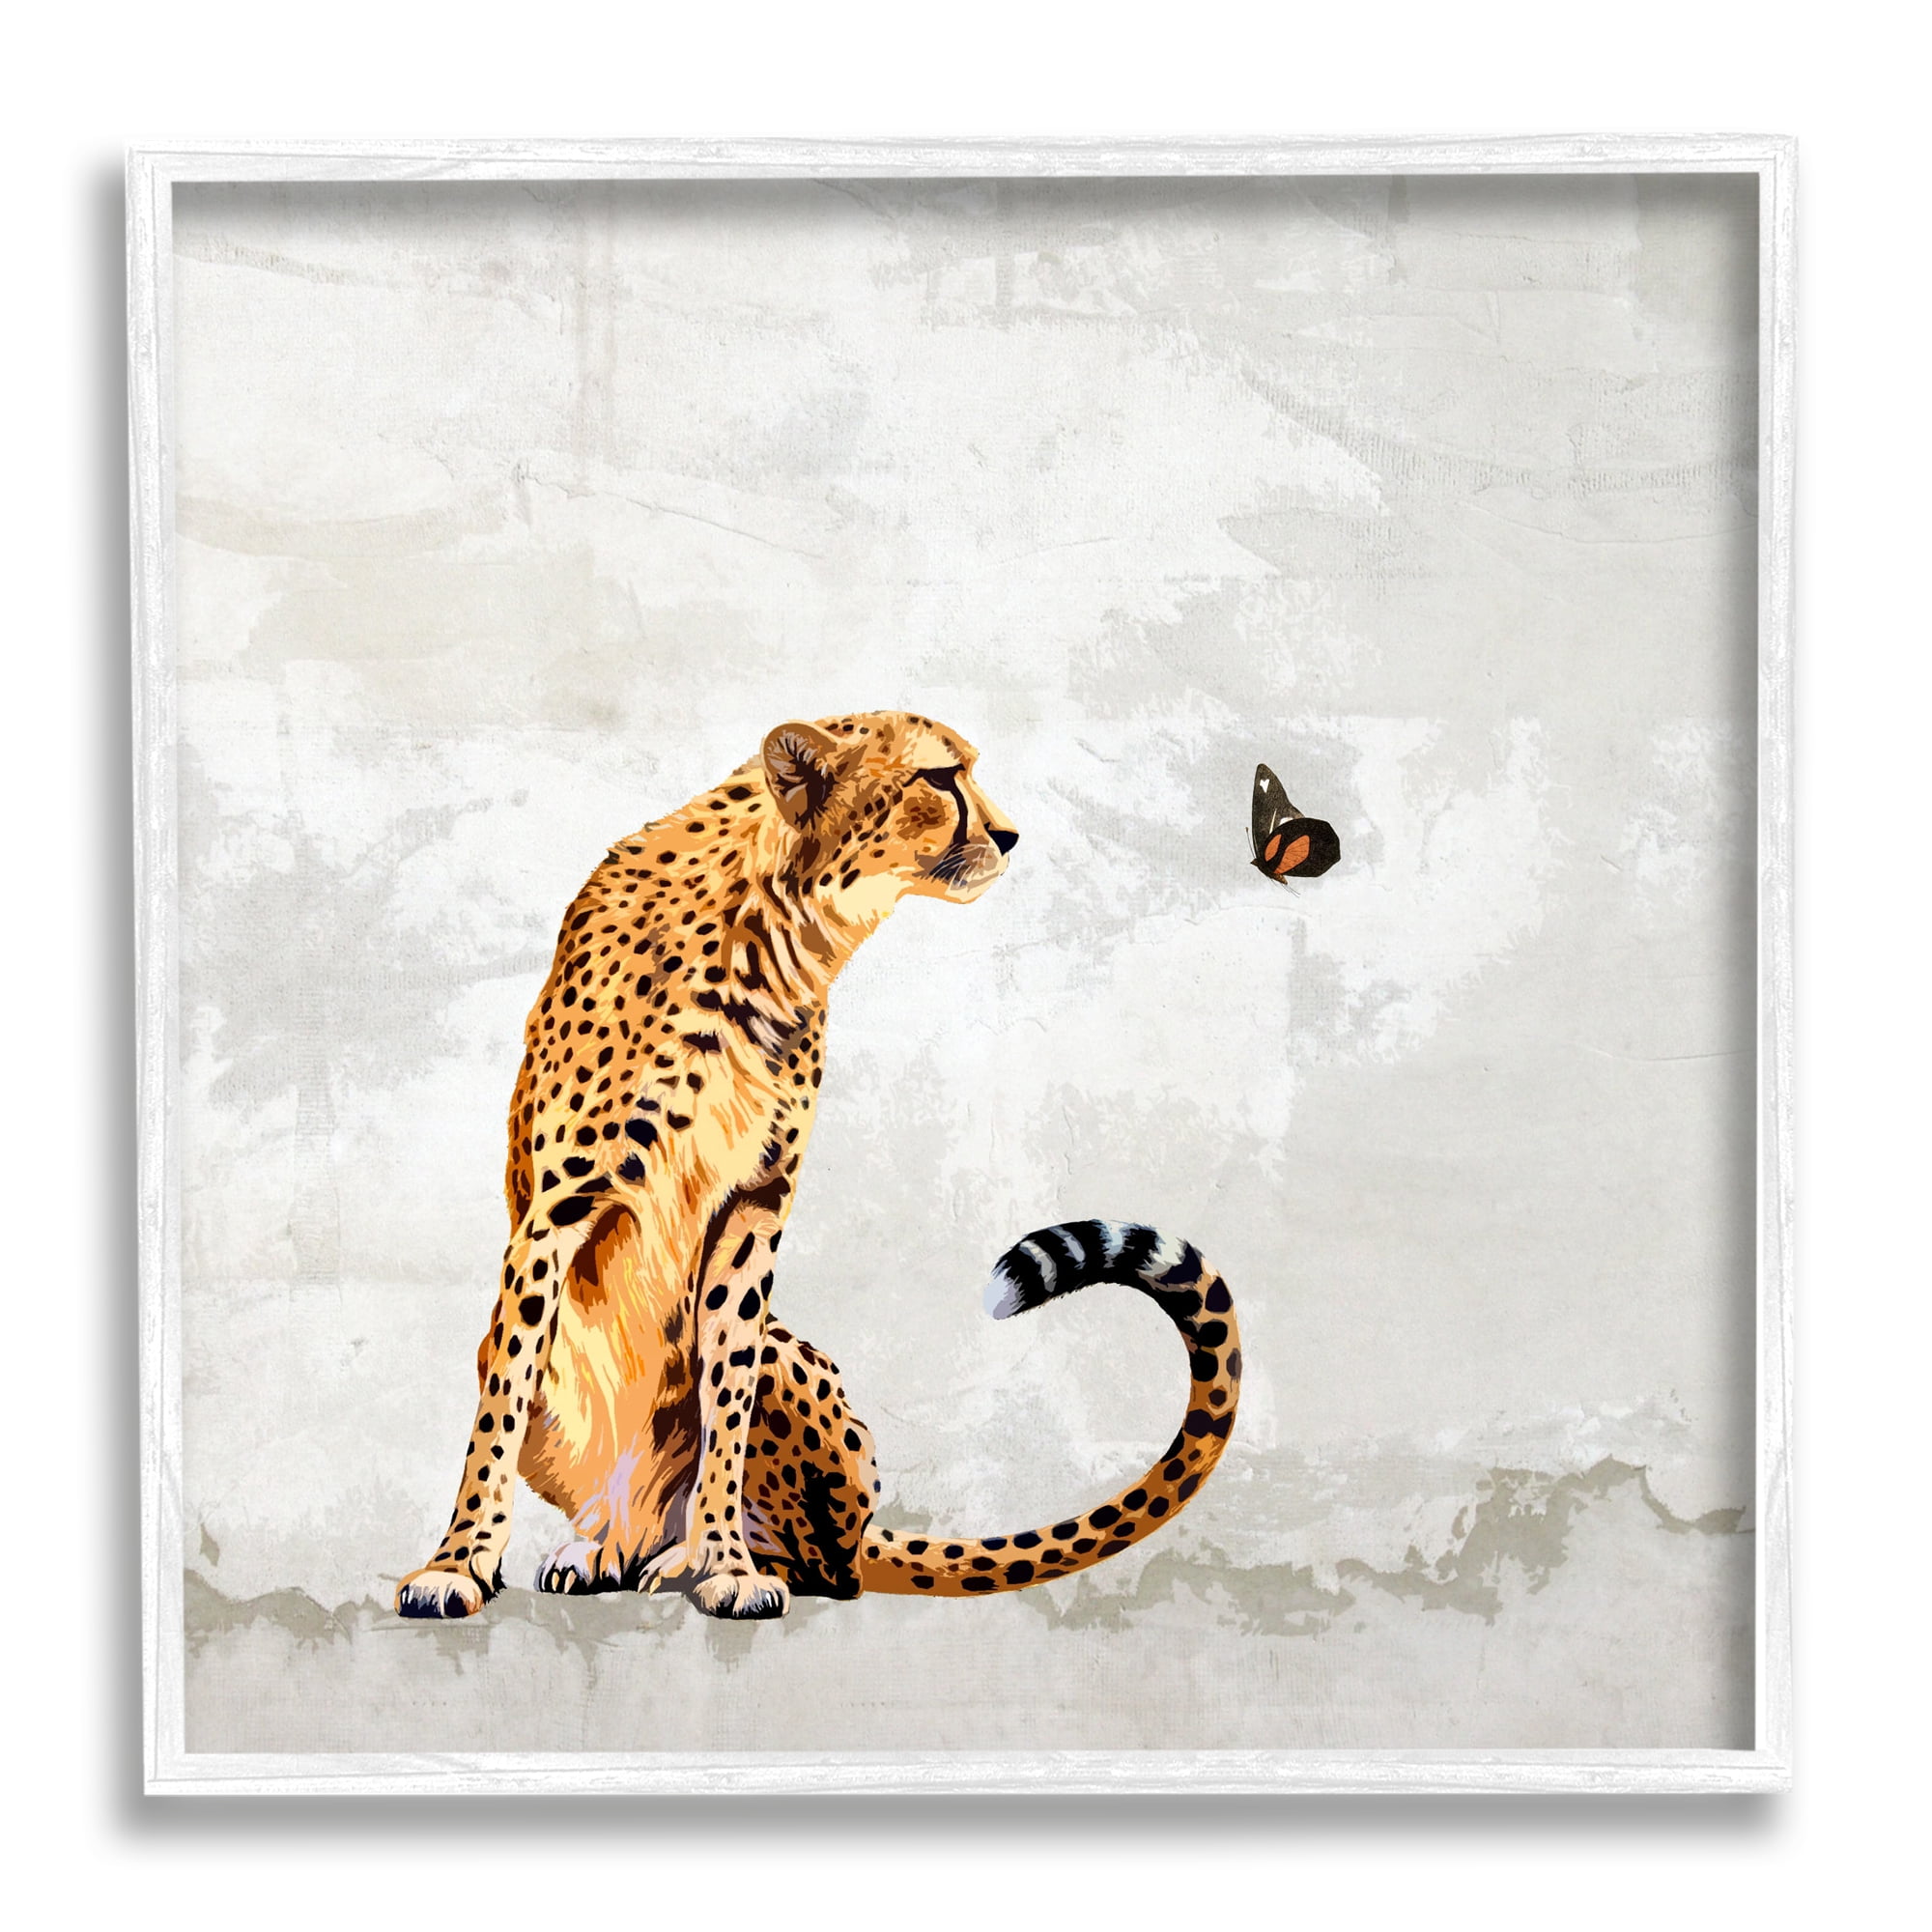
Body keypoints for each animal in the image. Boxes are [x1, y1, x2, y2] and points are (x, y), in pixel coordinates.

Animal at [395, 710, 1241, 1621]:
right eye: (941, 777)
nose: (1012, 836)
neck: (772, 932)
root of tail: (868, 1525)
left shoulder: (755, 1206)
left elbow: (726, 1395)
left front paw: (725, 1562)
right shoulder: (556, 1214)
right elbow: (501, 1404)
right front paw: (458, 1562)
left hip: (798, 1382)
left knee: (828, 1565)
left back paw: (685, 1556)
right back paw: (604, 1550)